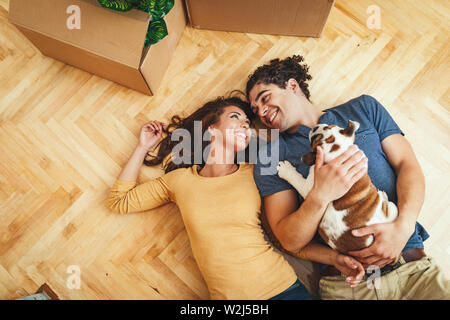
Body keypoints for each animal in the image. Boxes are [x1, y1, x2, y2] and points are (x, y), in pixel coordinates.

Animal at [278, 120, 398, 255]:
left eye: (315, 139)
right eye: (329, 126)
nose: (315, 128)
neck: (339, 155)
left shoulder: (310, 188)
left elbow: (296, 179)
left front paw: (285, 169)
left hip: (393, 208)